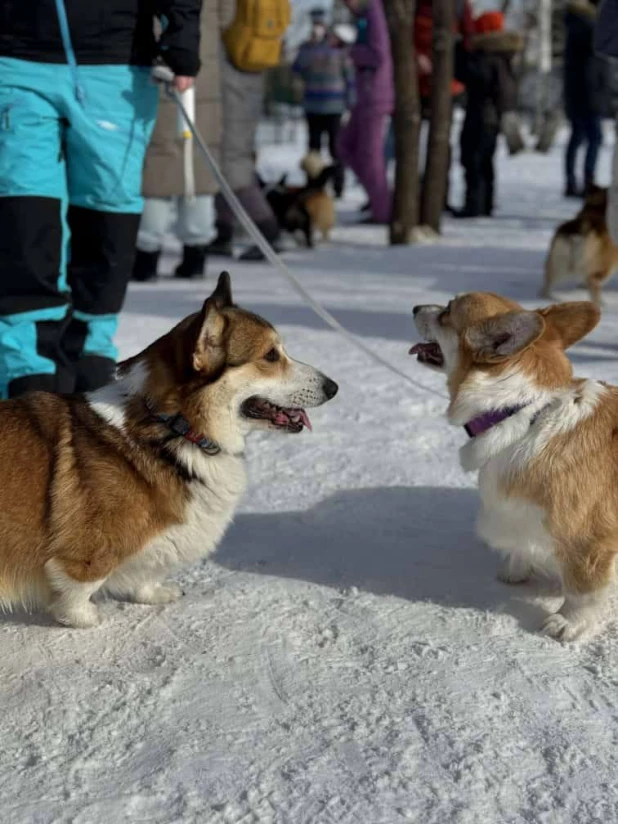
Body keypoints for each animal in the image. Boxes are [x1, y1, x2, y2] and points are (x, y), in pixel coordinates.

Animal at [0, 274, 336, 628]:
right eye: (271, 356)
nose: (334, 387)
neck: (175, 429)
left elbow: (146, 573)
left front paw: (153, 593)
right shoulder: (84, 556)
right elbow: (78, 589)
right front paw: (85, 617)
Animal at [410, 292, 616, 644]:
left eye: (448, 310)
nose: (414, 308)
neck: (522, 411)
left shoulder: (591, 539)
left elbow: (582, 591)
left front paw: (568, 622)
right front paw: (516, 568)